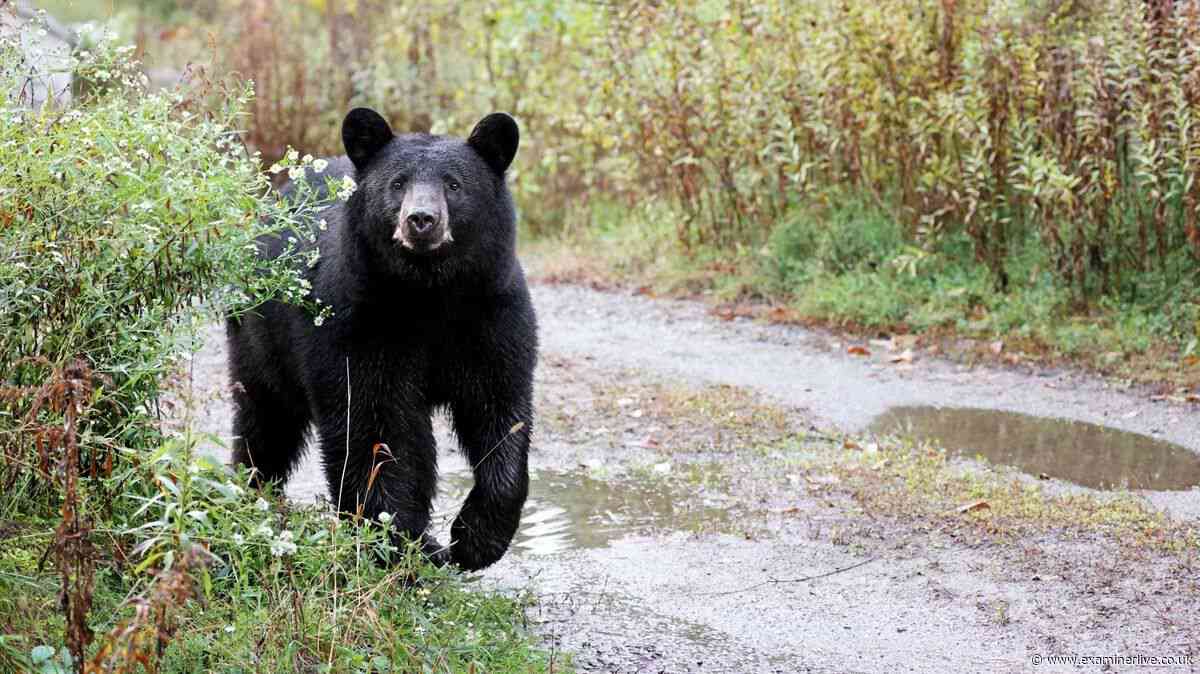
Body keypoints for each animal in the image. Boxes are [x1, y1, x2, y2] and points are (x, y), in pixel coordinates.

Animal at [226, 108, 537, 571]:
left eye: (454, 184)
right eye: (397, 183)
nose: (421, 220)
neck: (429, 294)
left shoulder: (492, 314)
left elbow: (500, 410)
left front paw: (474, 539)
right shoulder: (357, 320)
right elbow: (371, 422)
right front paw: (394, 540)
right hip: (259, 335)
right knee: (265, 419)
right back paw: (253, 491)